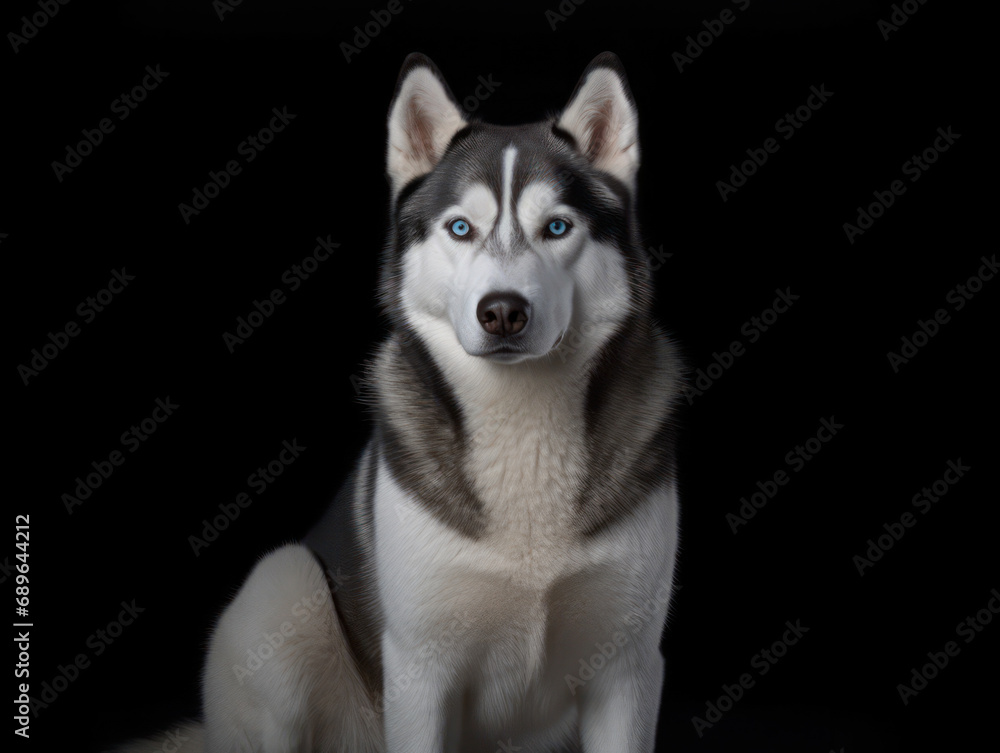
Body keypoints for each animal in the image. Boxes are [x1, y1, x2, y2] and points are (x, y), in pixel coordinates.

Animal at [113, 51, 684, 752]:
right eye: (460, 228)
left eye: (557, 228)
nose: (503, 311)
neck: (524, 429)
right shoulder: (420, 670)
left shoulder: (627, 669)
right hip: (284, 584)